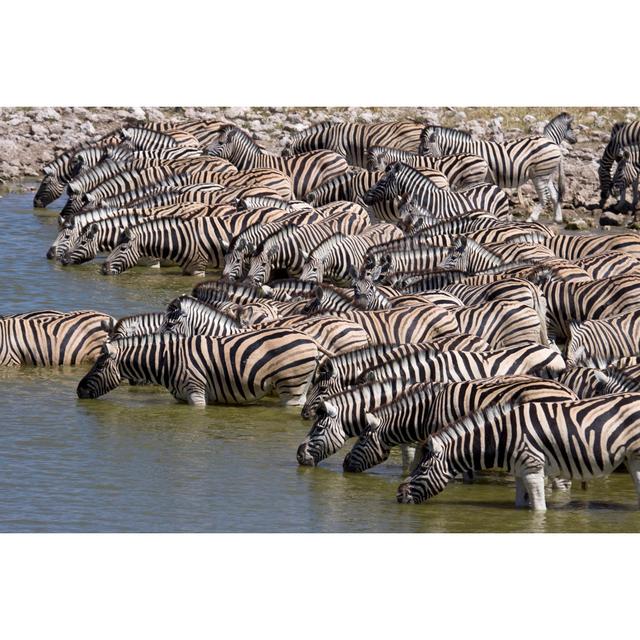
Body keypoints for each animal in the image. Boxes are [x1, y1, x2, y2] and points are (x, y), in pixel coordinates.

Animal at [396, 392, 640, 508]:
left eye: (422, 469)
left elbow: (539, 509)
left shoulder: (533, 469)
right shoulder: (521, 473)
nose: (399, 495)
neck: (501, 436)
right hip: (632, 458)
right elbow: (523, 506)